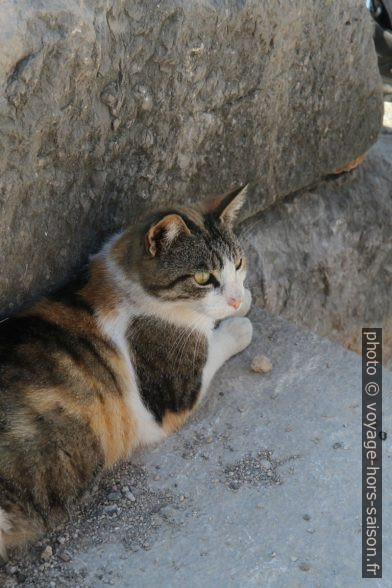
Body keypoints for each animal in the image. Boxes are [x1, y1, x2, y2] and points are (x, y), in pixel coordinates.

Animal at [0, 186, 253, 560]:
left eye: (238, 263)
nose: (234, 299)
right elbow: (215, 340)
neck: (125, 282)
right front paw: (238, 324)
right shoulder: (171, 396)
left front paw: (244, 299)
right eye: (203, 278)